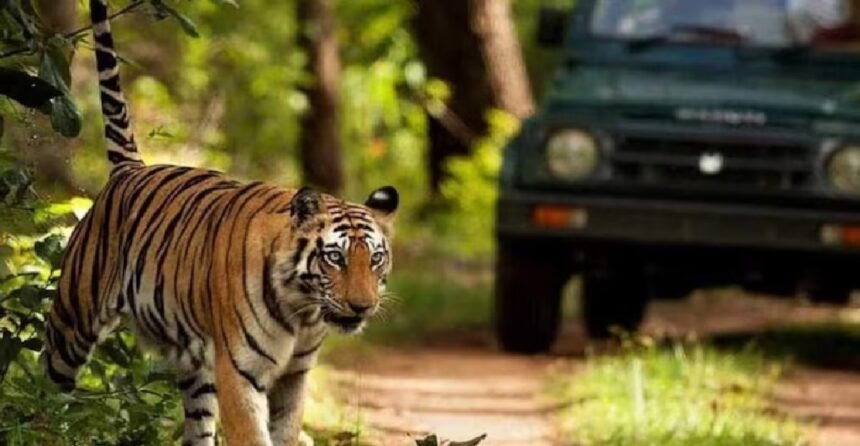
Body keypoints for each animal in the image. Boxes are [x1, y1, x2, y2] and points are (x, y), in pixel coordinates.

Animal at [41, 1, 398, 445]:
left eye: (376, 259)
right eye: (335, 257)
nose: (362, 306)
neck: (304, 311)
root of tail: (130, 170)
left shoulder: (294, 376)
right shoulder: (239, 371)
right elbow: (251, 434)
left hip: (197, 370)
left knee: (197, 427)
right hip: (73, 322)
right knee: (45, 389)